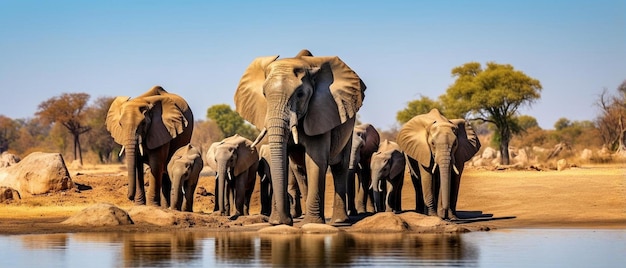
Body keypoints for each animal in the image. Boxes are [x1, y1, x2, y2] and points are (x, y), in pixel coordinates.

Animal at [234, 49, 364, 225]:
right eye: (264, 94)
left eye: (300, 94)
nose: (286, 221)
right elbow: (283, 161)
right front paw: (279, 222)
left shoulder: (320, 113)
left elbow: (315, 161)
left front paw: (310, 223)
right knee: (300, 169)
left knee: (340, 167)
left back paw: (338, 221)